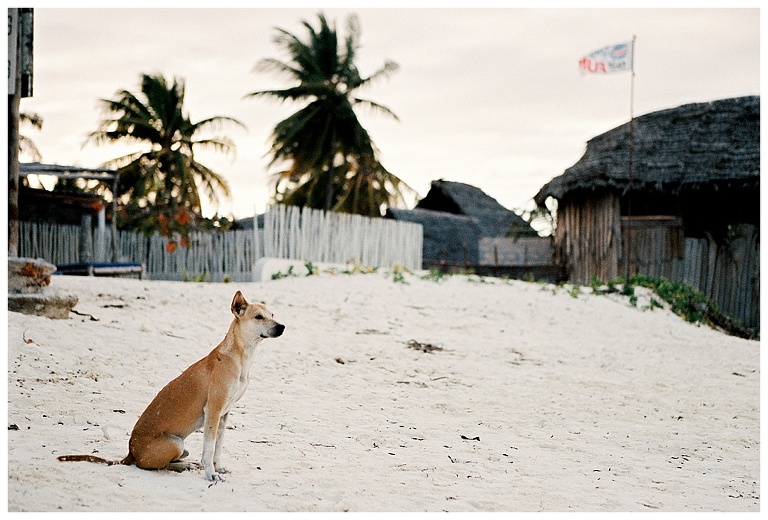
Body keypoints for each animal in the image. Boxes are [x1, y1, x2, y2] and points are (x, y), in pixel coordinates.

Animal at [57, 290, 284, 482]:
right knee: (152, 466)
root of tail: (130, 452)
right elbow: (209, 448)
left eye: (272, 314)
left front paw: (218, 467)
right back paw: (183, 467)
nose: (282, 326)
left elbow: (218, 446)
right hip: (176, 443)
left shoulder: (224, 414)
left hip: (182, 446)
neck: (237, 356)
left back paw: (187, 464)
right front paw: (210, 473)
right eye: (258, 317)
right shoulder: (213, 410)